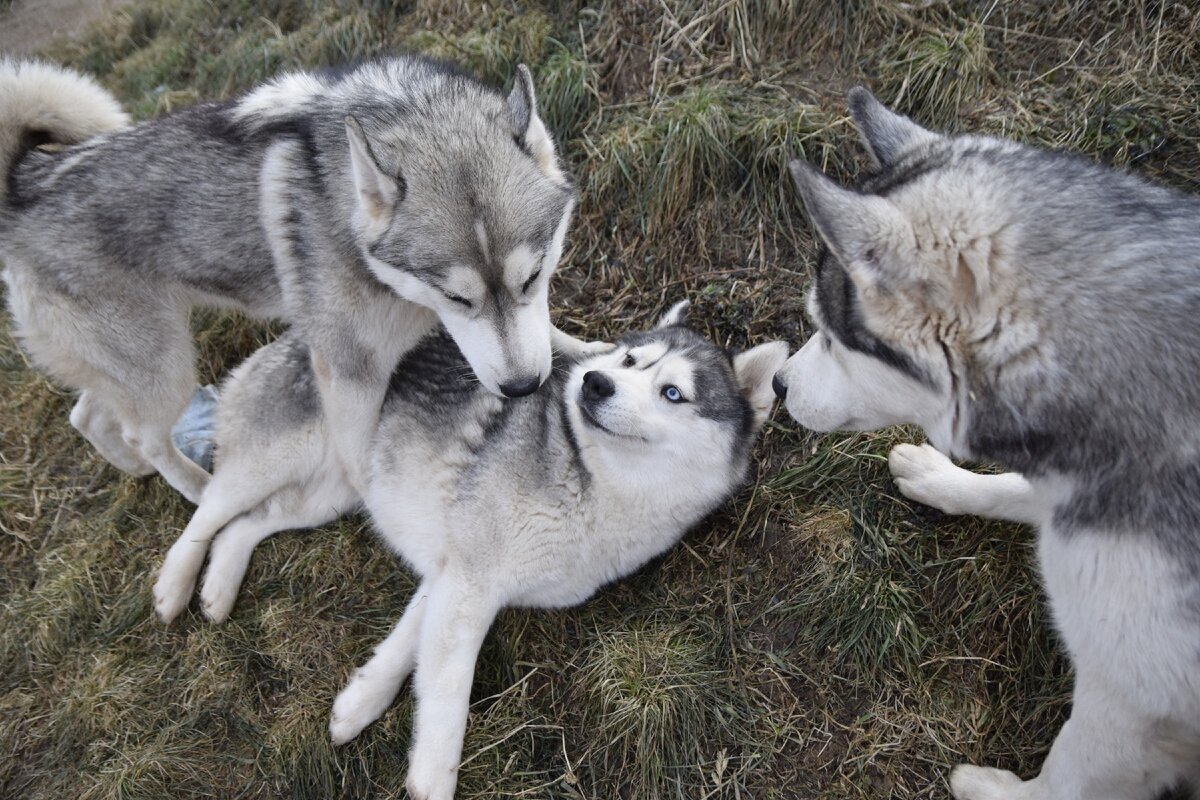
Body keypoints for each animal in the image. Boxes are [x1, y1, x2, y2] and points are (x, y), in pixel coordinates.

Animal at [0, 59, 571, 503]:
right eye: (455, 296)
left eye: (533, 276)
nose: (523, 389)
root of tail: (25, 182)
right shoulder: (348, 375)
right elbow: (362, 463)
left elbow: (546, 337)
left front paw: (580, 348)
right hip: (163, 367)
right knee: (144, 435)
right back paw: (198, 488)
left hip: (136, 364)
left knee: (89, 415)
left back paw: (135, 468)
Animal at [152, 302, 787, 800]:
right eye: (630, 362)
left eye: (673, 392)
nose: (594, 382)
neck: (591, 479)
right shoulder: (472, 583)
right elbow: (447, 692)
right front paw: (430, 777)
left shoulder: (453, 571)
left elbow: (405, 645)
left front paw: (359, 703)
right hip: (276, 462)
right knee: (209, 511)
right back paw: (174, 586)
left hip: (333, 493)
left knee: (247, 525)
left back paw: (218, 588)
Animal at [768, 90, 1200, 796]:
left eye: (829, 334)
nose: (777, 385)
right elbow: (1011, 490)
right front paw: (940, 477)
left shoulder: (1129, 700)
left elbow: (1064, 777)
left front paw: (991, 790)